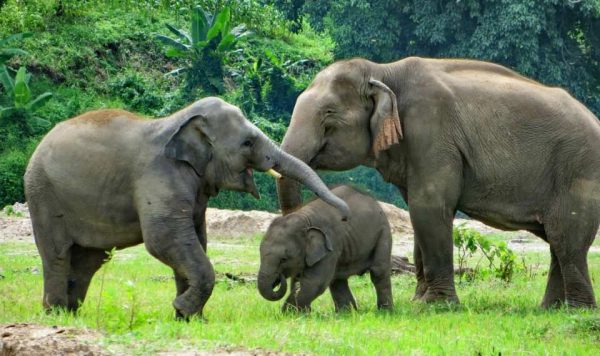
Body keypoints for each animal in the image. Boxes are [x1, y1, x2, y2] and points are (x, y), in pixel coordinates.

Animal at [25, 96, 350, 318]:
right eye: (247, 143)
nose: (346, 216)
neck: (181, 120)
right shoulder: (159, 175)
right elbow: (165, 239)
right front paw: (184, 310)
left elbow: (194, 238)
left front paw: (188, 318)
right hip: (42, 194)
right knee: (58, 254)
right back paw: (56, 314)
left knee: (88, 260)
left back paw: (71, 314)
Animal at [258, 185, 394, 312]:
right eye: (260, 255)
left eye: (284, 259)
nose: (279, 277)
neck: (305, 218)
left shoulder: (330, 246)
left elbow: (315, 281)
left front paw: (289, 314)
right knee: (338, 280)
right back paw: (346, 314)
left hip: (383, 232)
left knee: (378, 271)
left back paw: (385, 312)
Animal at [280, 57, 600, 308]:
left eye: (328, 114)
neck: (383, 71)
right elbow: (416, 212)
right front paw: (418, 301)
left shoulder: (431, 130)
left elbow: (429, 207)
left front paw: (436, 305)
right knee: (557, 241)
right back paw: (551, 309)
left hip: (579, 171)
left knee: (566, 238)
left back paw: (576, 310)